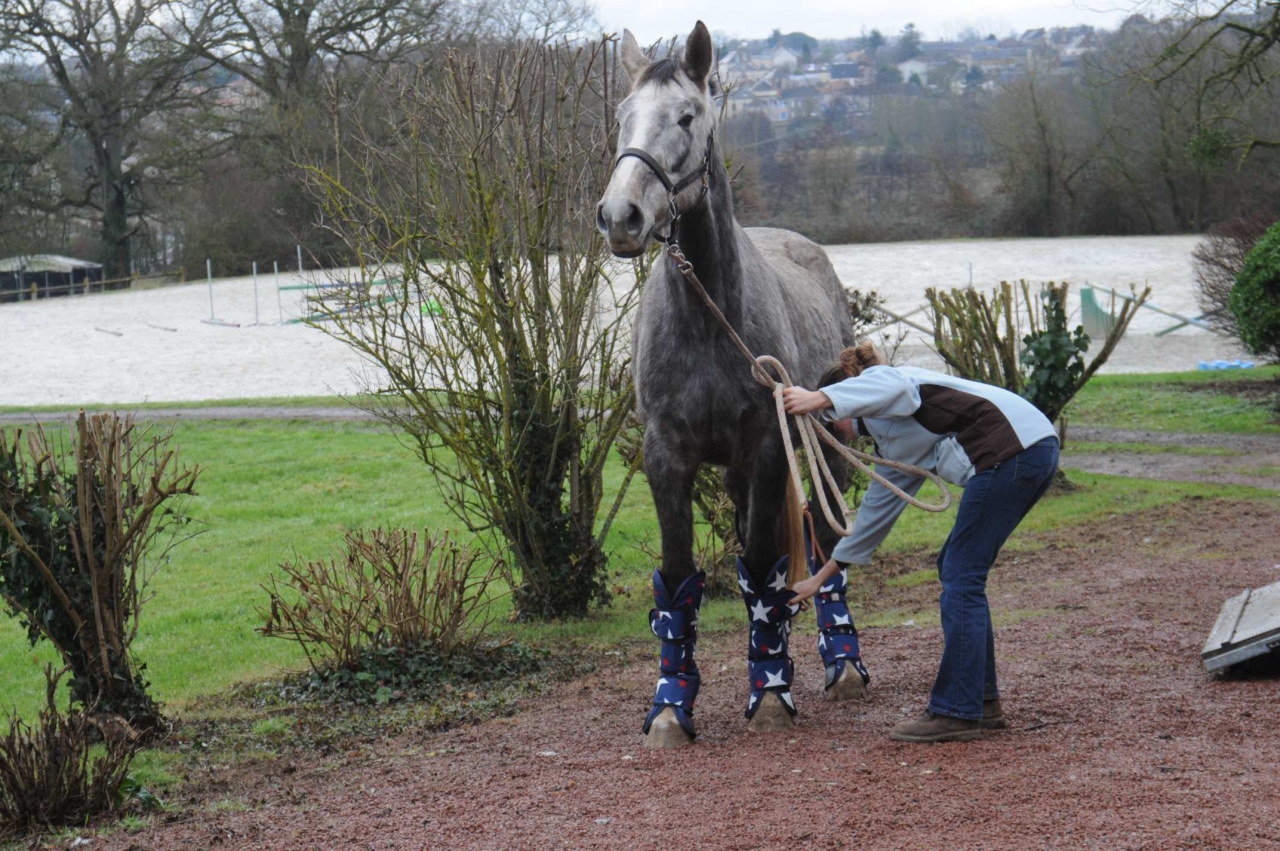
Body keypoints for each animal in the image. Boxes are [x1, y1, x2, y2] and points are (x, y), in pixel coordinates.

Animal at [596, 20, 868, 748]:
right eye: (623, 116)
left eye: (687, 116)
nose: (621, 216)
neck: (708, 313)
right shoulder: (668, 459)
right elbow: (678, 579)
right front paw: (670, 707)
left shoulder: (770, 449)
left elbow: (767, 563)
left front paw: (771, 690)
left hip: (822, 447)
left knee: (823, 548)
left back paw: (841, 663)